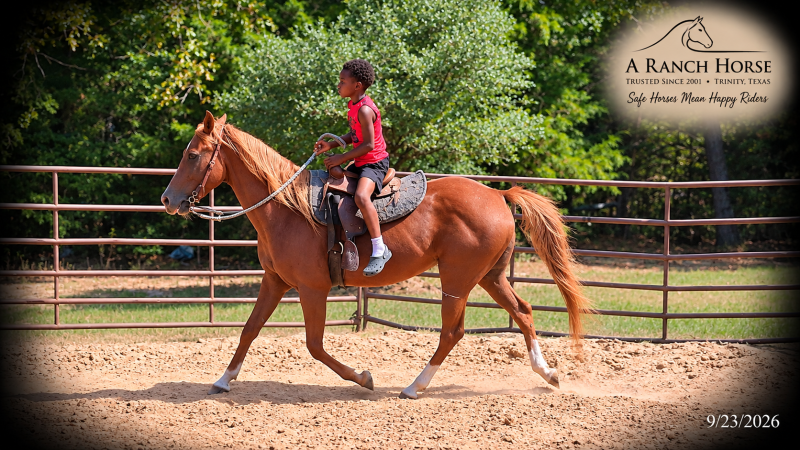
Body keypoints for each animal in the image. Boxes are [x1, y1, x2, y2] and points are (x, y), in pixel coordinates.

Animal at [161, 111, 592, 399]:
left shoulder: (312, 289)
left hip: (458, 278)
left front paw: (364, 378)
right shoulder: (275, 281)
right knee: (523, 311)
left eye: (194, 155)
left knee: (452, 331)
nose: (167, 199)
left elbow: (314, 345)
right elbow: (250, 329)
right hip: (491, 275)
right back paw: (548, 373)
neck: (286, 208)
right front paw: (222, 380)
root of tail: (498, 194)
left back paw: (415, 386)